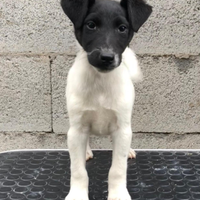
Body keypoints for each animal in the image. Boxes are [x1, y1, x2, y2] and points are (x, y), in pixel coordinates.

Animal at [60, 0, 152, 200]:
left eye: (122, 28)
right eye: (91, 25)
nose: (107, 57)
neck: (100, 82)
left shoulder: (122, 128)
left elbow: (117, 169)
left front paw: (118, 194)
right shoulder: (77, 128)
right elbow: (78, 170)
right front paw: (77, 194)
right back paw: (86, 151)